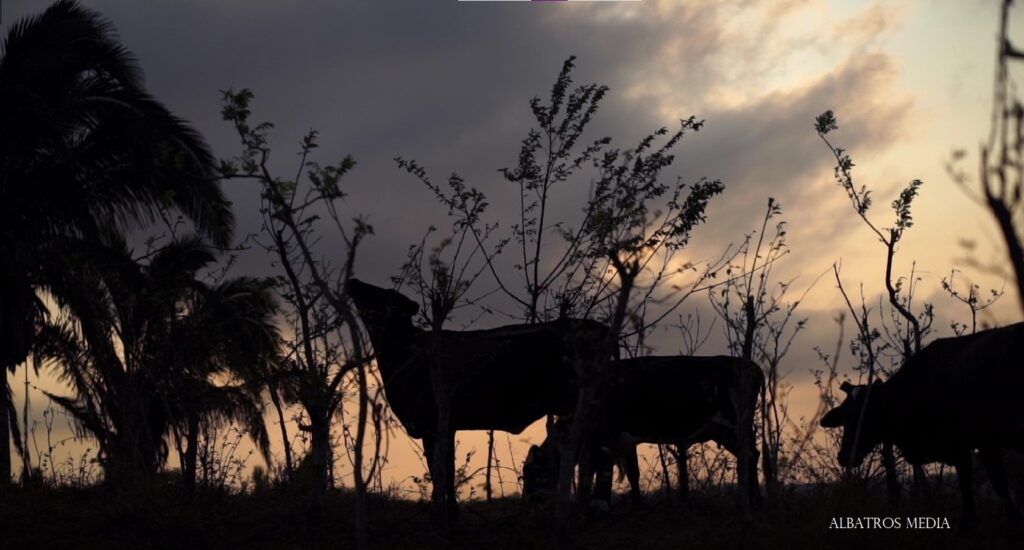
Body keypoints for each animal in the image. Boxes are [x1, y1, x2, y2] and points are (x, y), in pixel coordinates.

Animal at [348, 278, 610, 514]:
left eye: (387, 296)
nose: (355, 281)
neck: (403, 358)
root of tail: (599, 328)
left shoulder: (431, 423)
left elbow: (438, 469)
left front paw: (440, 511)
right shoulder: (448, 424)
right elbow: (448, 469)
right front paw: (452, 511)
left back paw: (596, 505)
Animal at [524, 354, 765, 512]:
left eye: (533, 470)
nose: (528, 502)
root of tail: (752, 366)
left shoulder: (605, 439)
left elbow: (602, 471)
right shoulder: (625, 441)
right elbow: (632, 472)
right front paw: (636, 505)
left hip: (734, 426)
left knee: (750, 456)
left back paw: (753, 502)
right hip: (722, 431)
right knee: (751, 455)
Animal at [819, 321, 1024, 528]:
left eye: (867, 415)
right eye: (844, 417)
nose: (844, 456)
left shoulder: (965, 444)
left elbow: (979, 488)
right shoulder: (984, 444)